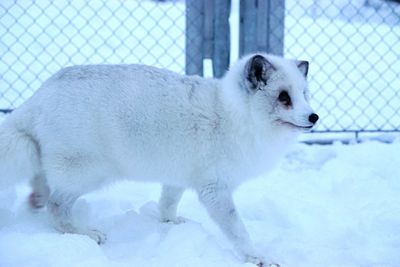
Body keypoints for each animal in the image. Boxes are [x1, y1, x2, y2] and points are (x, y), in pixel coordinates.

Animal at [0, 53, 318, 266]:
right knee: (56, 205)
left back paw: (36, 199)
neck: (234, 115)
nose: (314, 117)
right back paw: (82, 232)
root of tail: (39, 96)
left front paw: (171, 223)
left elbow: (167, 202)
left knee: (41, 180)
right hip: (90, 172)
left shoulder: (179, 177)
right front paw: (257, 257)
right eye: (284, 97)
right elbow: (238, 229)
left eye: (304, 94)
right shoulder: (215, 189)